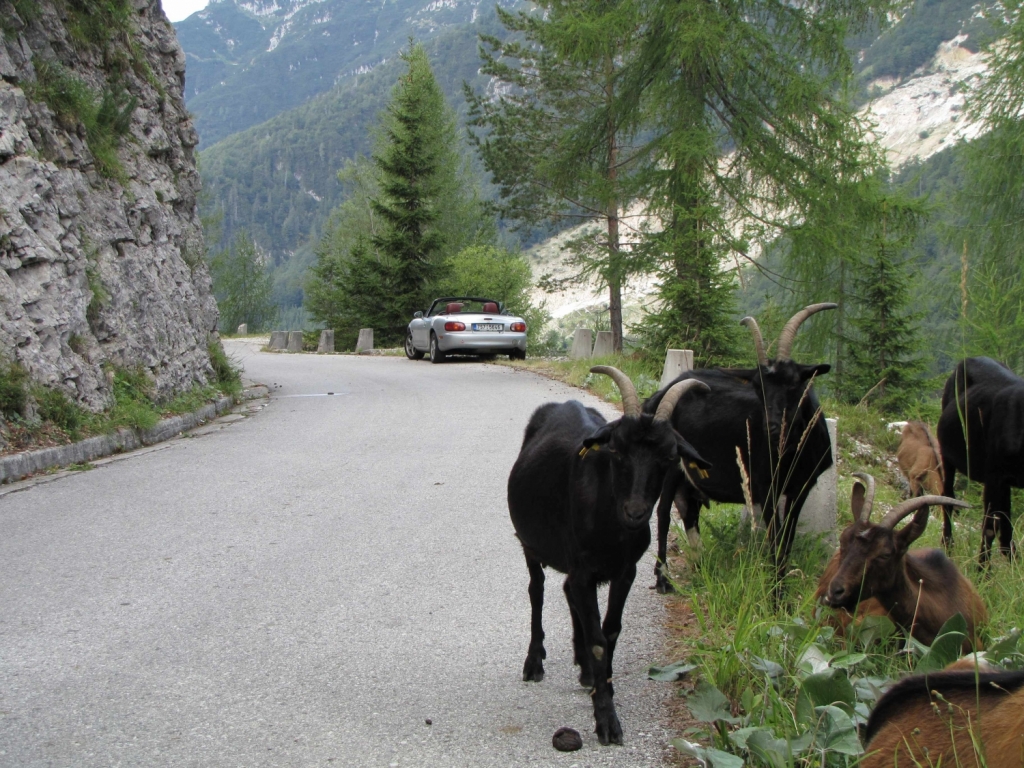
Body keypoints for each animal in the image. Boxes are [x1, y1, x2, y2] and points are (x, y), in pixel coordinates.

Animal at [505, 366, 712, 745]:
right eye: (617, 451)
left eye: (669, 457)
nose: (635, 512)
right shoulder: (584, 569)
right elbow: (599, 640)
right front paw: (606, 719)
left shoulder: (624, 571)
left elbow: (610, 631)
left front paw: (604, 683)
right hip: (530, 545)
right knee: (537, 591)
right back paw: (535, 662)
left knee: (567, 592)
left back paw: (586, 669)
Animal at [647, 303, 831, 589]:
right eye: (758, 388)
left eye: (794, 384)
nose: (772, 428)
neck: (792, 450)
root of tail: (662, 393)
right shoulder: (765, 487)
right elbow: (775, 538)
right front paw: (776, 593)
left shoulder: (801, 487)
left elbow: (787, 539)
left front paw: (780, 587)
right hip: (671, 466)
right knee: (665, 512)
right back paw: (663, 577)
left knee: (688, 510)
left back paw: (700, 567)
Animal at [937, 358, 1019, 561]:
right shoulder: (993, 476)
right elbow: (989, 527)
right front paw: (982, 567)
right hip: (947, 453)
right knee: (947, 496)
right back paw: (948, 545)